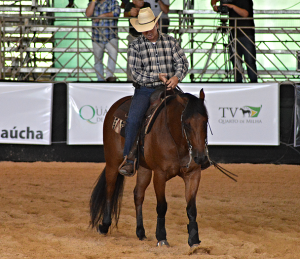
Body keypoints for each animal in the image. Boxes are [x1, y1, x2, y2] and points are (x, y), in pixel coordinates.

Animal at [89, 88, 209, 249]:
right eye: (187, 123)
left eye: (205, 121)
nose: (201, 157)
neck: (177, 141)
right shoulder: (160, 175)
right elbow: (162, 206)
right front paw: (162, 238)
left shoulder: (193, 174)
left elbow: (191, 208)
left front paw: (194, 240)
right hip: (113, 162)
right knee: (110, 189)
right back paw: (104, 226)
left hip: (144, 168)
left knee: (138, 194)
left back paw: (140, 232)